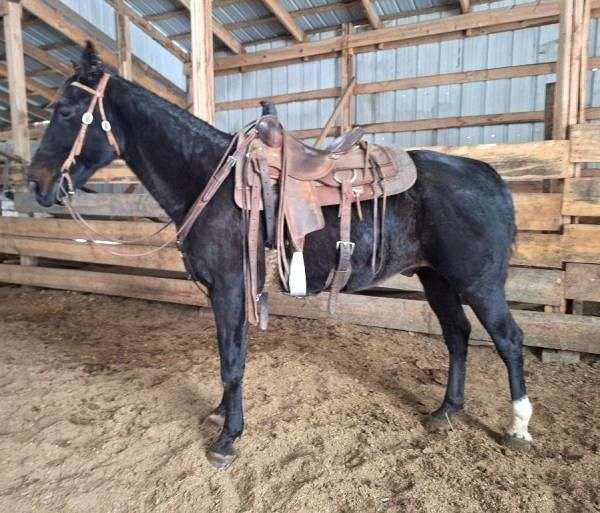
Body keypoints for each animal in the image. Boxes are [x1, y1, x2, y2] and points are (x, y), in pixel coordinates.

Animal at [29, 44, 536, 468]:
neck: (208, 180)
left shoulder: (230, 287)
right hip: (437, 279)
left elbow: (231, 360)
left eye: (67, 111)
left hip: (478, 283)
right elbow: (232, 354)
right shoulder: (233, 290)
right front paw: (222, 414)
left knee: (508, 339)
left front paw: (227, 440)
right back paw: (446, 411)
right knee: (457, 335)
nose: (35, 183)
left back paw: (518, 428)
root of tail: (488, 174)